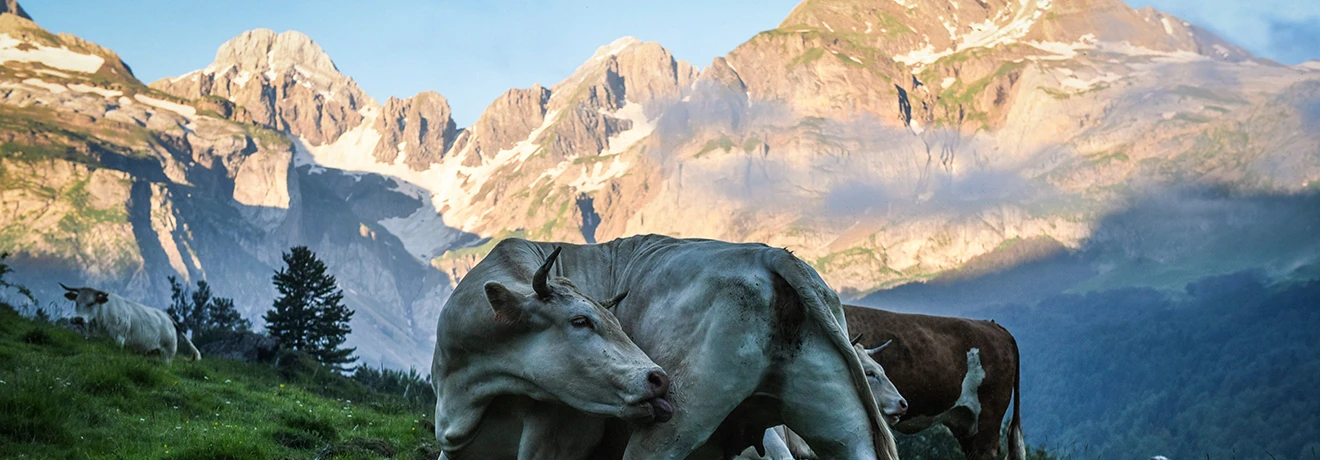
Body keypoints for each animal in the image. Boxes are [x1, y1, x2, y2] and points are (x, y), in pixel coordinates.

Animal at [60, 283, 201, 364]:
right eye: (77, 302)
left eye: (91, 303)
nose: (78, 319)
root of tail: (167, 317)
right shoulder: (91, 338)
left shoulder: (119, 339)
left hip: (168, 354)